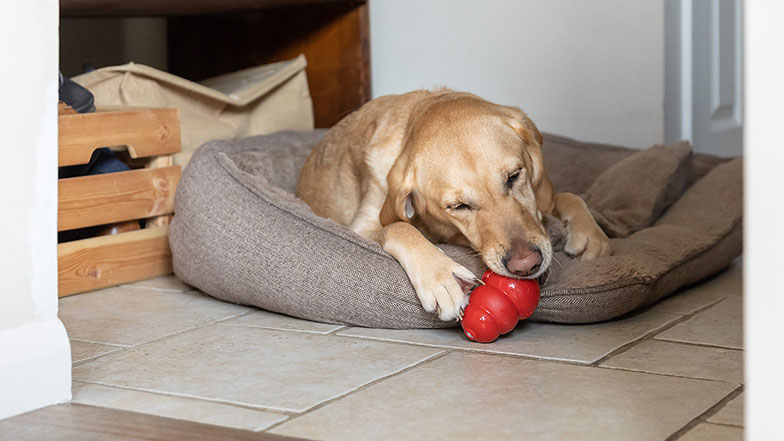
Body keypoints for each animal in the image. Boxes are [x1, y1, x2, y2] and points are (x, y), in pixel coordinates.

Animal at [296, 89, 612, 320]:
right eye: (459, 206)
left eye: (514, 176)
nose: (526, 265)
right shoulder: (362, 225)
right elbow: (400, 227)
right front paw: (441, 279)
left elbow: (566, 196)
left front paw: (590, 235)